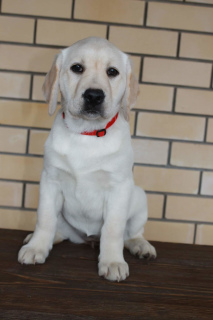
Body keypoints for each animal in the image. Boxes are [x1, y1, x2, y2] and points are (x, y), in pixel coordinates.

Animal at [17, 37, 156, 282]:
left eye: (112, 72)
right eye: (77, 68)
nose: (94, 96)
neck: (87, 133)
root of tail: (88, 239)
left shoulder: (119, 187)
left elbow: (113, 229)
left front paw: (112, 261)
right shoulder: (50, 180)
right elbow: (45, 218)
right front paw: (36, 247)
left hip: (139, 197)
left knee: (131, 233)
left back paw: (141, 246)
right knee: (58, 228)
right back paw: (38, 238)